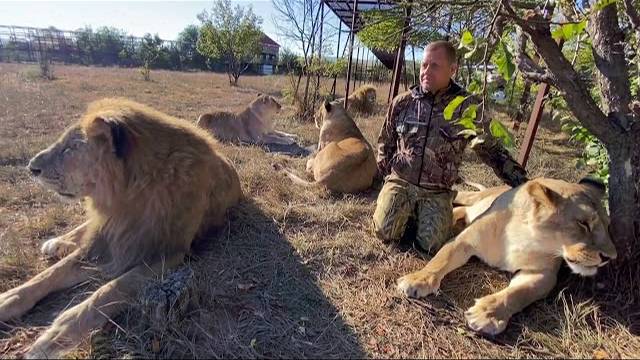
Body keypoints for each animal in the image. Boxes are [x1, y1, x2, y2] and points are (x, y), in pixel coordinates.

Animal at [1, 97, 242, 358]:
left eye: (71, 148)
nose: (30, 168)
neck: (126, 198)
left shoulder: (167, 253)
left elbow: (111, 290)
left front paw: (55, 336)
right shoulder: (108, 238)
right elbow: (51, 273)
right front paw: (7, 299)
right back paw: (56, 243)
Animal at [398, 177, 616, 334]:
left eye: (608, 225)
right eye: (583, 223)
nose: (611, 257)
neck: (526, 235)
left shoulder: (542, 273)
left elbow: (518, 293)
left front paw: (487, 315)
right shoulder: (464, 241)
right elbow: (440, 260)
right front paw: (417, 280)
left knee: (462, 210)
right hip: (470, 197)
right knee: (459, 199)